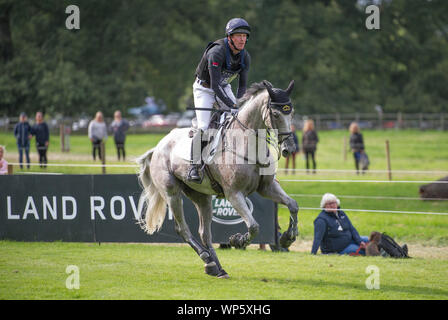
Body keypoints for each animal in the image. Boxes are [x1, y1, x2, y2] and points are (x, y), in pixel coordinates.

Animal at [135, 80, 300, 278]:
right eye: (275, 114)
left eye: (291, 113)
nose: (289, 149)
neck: (247, 144)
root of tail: (158, 147)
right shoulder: (234, 194)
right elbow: (253, 226)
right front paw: (238, 240)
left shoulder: (267, 188)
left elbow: (293, 205)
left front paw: (287, 238)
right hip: (172, 193)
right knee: (183, 229)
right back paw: (207, 258)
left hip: (201, 197)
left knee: (205, 233)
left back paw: (216, 268)